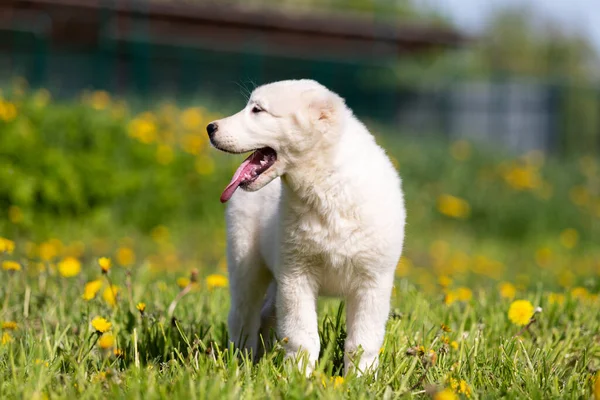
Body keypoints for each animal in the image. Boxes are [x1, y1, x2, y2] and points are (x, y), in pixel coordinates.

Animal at [207, 79, 408, 376]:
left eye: (257, 110)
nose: (210, 127)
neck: (327, 185)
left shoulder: (373, 281)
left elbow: (363, 341)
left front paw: (361, 378)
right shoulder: (296, 275)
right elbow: (301, 336)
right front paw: (299, 377)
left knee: (265, 314)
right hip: (246, 262)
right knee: (244, 316)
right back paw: (242, 361)